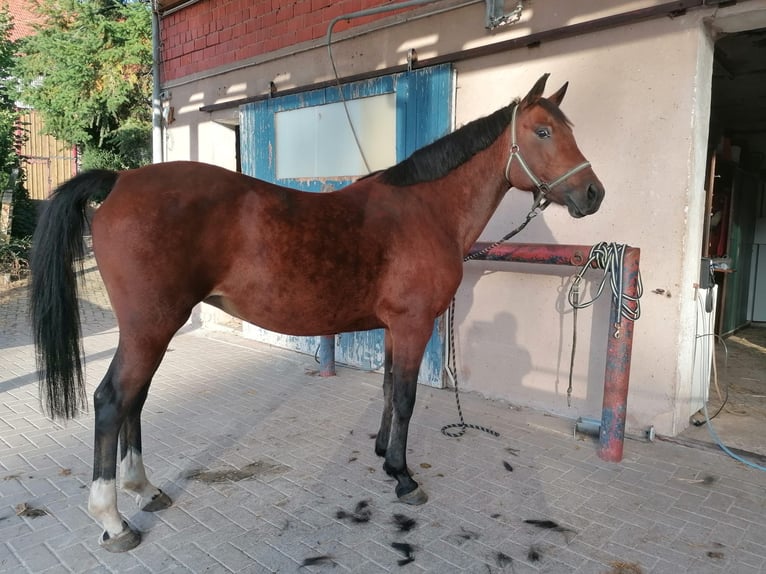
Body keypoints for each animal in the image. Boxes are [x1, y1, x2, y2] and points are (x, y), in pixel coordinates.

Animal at [31, 73, 608, 552]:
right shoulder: (413, 324)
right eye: (541, 132)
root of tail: (120, 182)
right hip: (150, 328)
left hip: (149, 330)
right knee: (113, 400)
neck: (426, 211)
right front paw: (404, 477)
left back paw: (144, 489)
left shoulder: (395, 326)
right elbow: (406, 397)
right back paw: (113, 520)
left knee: (135, 399)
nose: (593, 193)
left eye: (566, 130)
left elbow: (387, 391)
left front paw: (383, 455)